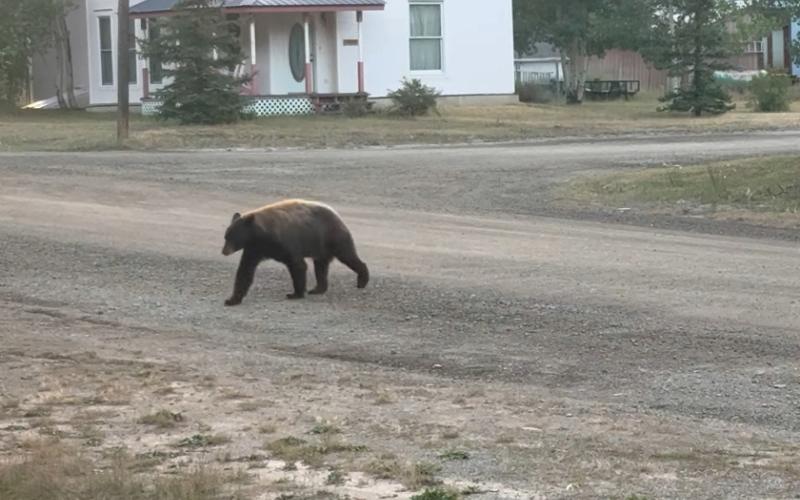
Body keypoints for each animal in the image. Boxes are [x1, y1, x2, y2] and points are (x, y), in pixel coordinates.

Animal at [221, 199, 369, 306]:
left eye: (232, 237)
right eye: (226, 236)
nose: (224, 251)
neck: (261, 235)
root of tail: (337, 215)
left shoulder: (285, 242)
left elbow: (297, 265)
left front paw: (295, 294)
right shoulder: (254, 249)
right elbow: (245, 270)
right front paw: (232, 299)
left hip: (333, 237)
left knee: (348, 256)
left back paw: (362, 280)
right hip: (320, 246)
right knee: (321, 266)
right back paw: (317, 289)